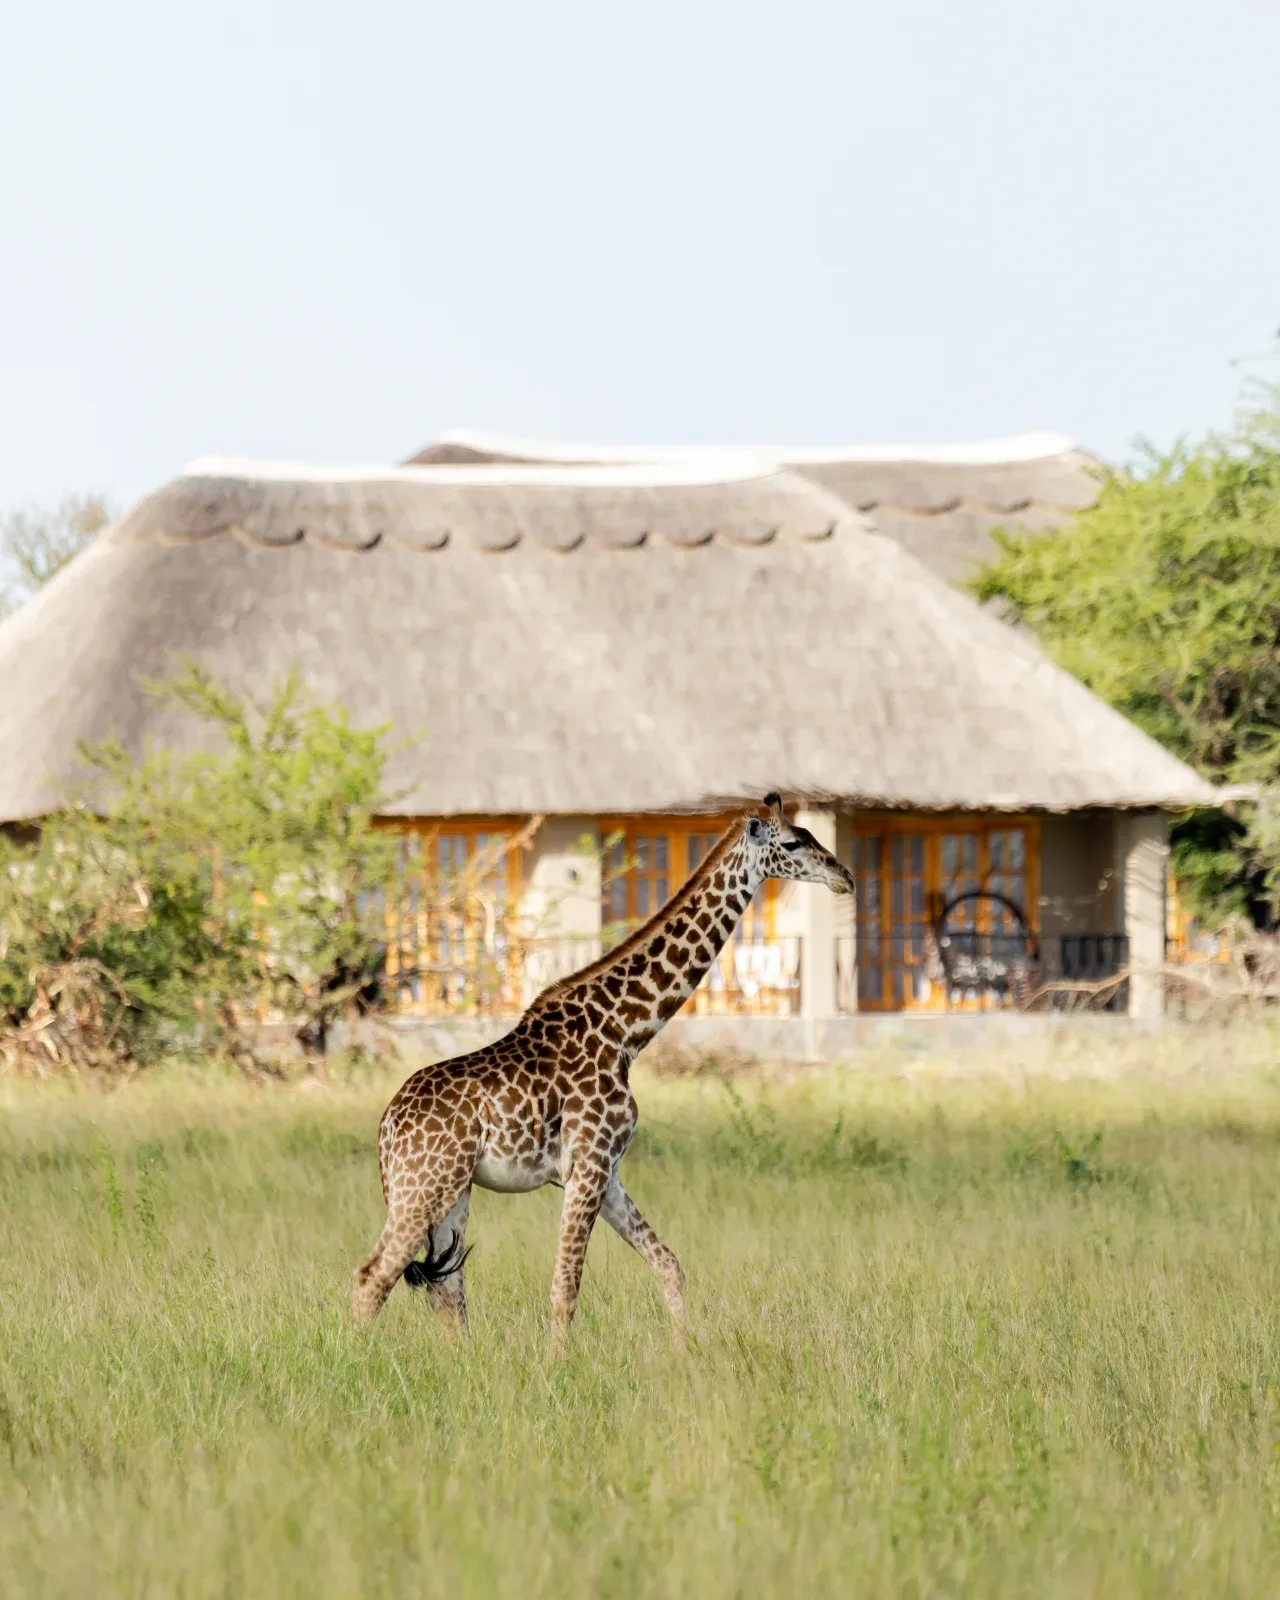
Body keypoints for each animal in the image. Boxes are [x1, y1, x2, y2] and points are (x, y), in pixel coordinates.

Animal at [352, 794, 856, 1347]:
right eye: (793, 842)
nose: (845, 876)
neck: (626, 1032)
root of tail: (386, 1126)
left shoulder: (608, 1170)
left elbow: (668, 1266)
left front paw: (687, 1350)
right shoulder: (588, 1163)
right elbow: (565, 1288)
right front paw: (558, 1364)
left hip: (451, 1190)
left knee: (447, 1291)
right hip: (425, 1185)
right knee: (373, 1276)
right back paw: (358, 1358)